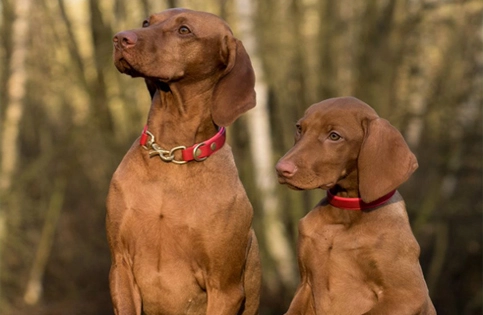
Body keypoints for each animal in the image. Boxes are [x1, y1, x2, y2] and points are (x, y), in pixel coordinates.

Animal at [108, 8, 262, 315]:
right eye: (147, 22)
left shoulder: (224, 287)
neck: (171, 152)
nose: (120, 38)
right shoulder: (120, 266)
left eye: (184, 31)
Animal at [276, 97, 438, 315]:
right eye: (299, 129)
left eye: (334, 136)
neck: (344, 215)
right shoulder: (305, 285)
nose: (281, 169)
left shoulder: (407, 295)